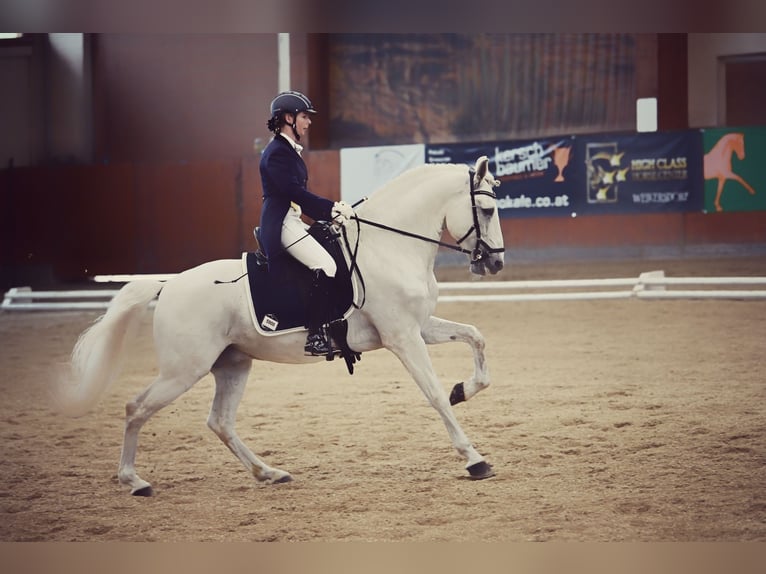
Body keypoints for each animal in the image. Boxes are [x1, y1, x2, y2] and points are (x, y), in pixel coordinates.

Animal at [57, 155, 508, 498]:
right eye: (486, 210)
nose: (496, 262)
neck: (389, 247)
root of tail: (169, 284)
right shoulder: (402, 337)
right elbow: (434, 396)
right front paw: (475, 459)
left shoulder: (419, 327)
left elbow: (476, 338)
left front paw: (464, 389)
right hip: (183, 370)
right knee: (136, 408)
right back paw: (135, 482)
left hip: (232, 364)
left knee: (219, 422)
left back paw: (269, 473)